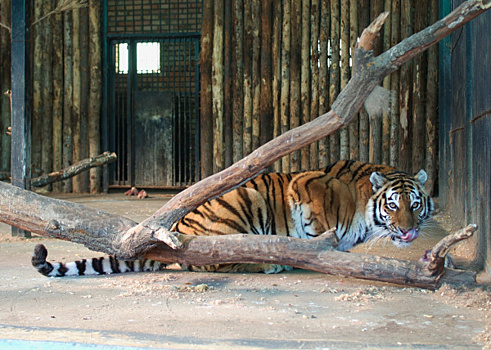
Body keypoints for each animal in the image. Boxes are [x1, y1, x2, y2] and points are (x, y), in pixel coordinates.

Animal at [31, 160, 434, 278]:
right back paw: (270, 265)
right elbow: (321, 232)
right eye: (393, 205)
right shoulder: (310, 188)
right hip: (242, 208)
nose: (409, 231)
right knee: (218, 261)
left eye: (415, 205)